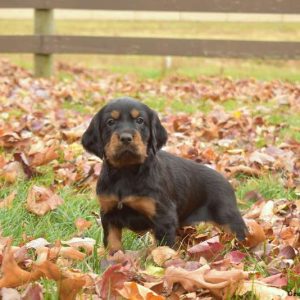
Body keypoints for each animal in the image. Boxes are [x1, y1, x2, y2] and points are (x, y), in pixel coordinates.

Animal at [81, 96, 247, 251]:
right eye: (110, 122)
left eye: (140, 120)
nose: (126, 138)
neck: (126, 172)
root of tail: (225, 179)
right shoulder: (109, 214)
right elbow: (113, 243)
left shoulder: (164, 216)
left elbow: (164, 247)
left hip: (228, 217)